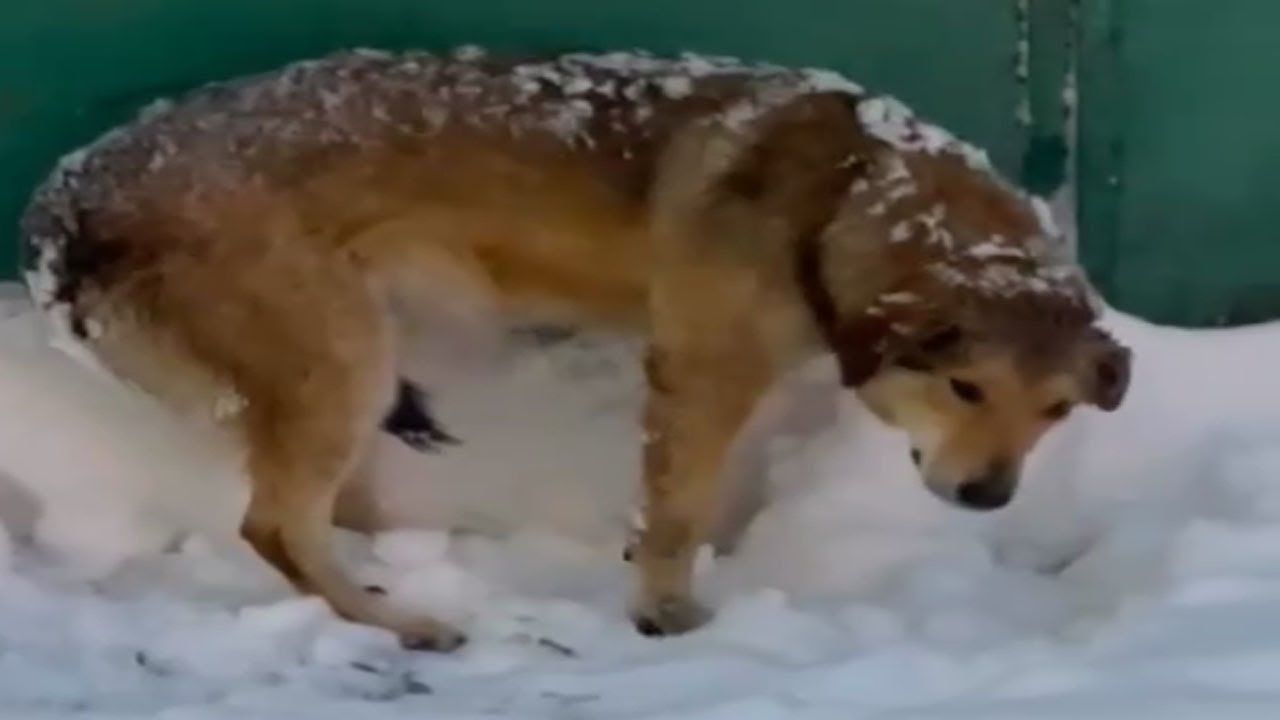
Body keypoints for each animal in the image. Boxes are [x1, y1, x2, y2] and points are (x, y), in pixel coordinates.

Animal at [20, 47, 1131, 650]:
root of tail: (72, 185)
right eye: (963, 386)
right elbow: (677, 513)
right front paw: (666, 616)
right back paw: (400, 622)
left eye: (1055, 413)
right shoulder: (702, 371)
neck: (853, 191)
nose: (988, 498)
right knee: (273, 524)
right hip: (342, 358)